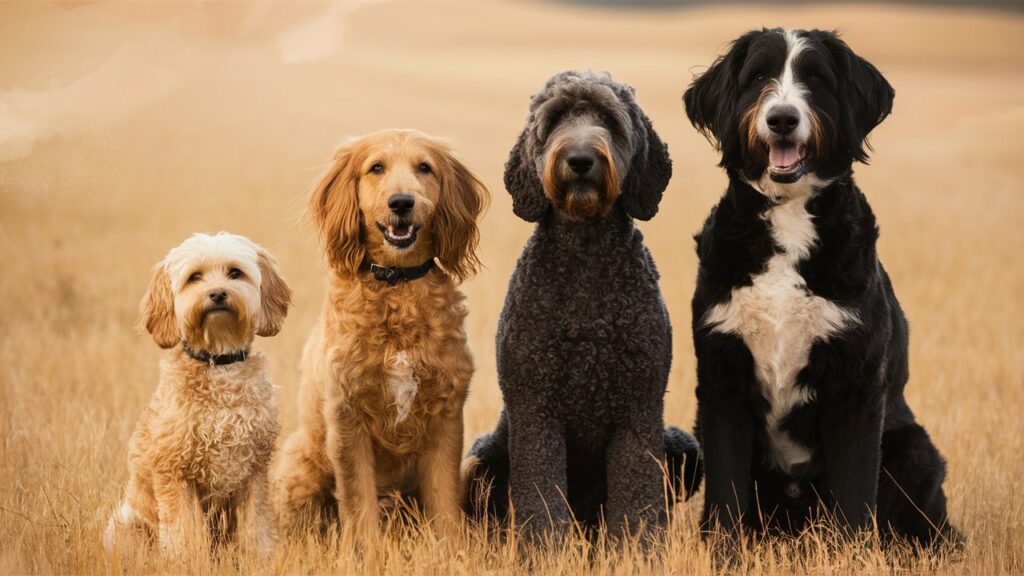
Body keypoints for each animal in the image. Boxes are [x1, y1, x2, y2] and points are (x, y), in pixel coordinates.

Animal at [104, 230, 292, 553]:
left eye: (234, 273)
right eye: (195, 277)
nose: (217, 294)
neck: (219, 362)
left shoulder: (254, 471)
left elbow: (257, 527)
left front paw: (262, 556)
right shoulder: (174, 472)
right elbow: (184, 532)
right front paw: (185, 559)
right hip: (127, 528)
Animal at [274, 129, 489, 541]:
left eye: (425, 167)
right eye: (376, 168)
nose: (402, 202)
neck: (397, 284)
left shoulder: (446, 419)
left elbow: (445, 504)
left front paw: (451, 549)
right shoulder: (347, 419)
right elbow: (359, 505)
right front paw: (365, 550)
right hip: (300, 469)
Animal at [464, 70, 704, 532]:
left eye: (609, 120)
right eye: (555, 118)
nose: (579, 159)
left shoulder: (639, 410)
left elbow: (638, 498)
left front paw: (638, 547)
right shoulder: (535, 410)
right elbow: (541, 496)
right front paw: (545, 548)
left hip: (681, 444)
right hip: (483, 455)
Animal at [679, 28, 958, 545]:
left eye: (816, 78)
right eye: (759, 77)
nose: (782, 118)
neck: (789, 219)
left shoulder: (856, 384)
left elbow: (853, 492)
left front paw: (853, 552)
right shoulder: (723, 381)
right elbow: (726, 494)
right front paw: (722, 550)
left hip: (913, 449)